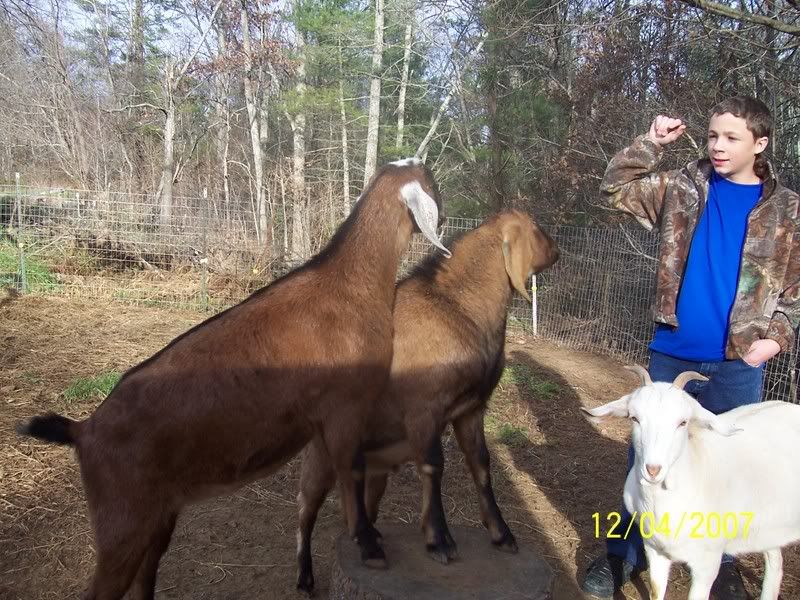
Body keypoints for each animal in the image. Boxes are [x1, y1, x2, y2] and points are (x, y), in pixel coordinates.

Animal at [16, 158, 450, 600]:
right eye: (432, 183)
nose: (446, 218)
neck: (349, 284)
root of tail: (82, 430)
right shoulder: (345, 408)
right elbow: (352, 475)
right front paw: (368, 545)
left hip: (158, 515)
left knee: (143, 577)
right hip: (122, 520)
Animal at [295, 209, 560, 594]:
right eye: (536, 230)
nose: (557, 250)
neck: (457, 309)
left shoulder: (471, 409)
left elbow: (481, 464)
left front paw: (502, 534)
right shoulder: (425, 410)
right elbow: (434, 466)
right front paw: (439, 541)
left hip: (374, 468)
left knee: (358, 502)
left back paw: (370, 540)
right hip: (322, 455)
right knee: (306, 509)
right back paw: (305, 577)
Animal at [583, 367, 800, 600]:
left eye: (683, 422)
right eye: (634, 418)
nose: (653, 469)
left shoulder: (707, 562)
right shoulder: (654, 550)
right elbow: (656, 591)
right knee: (775, 561)